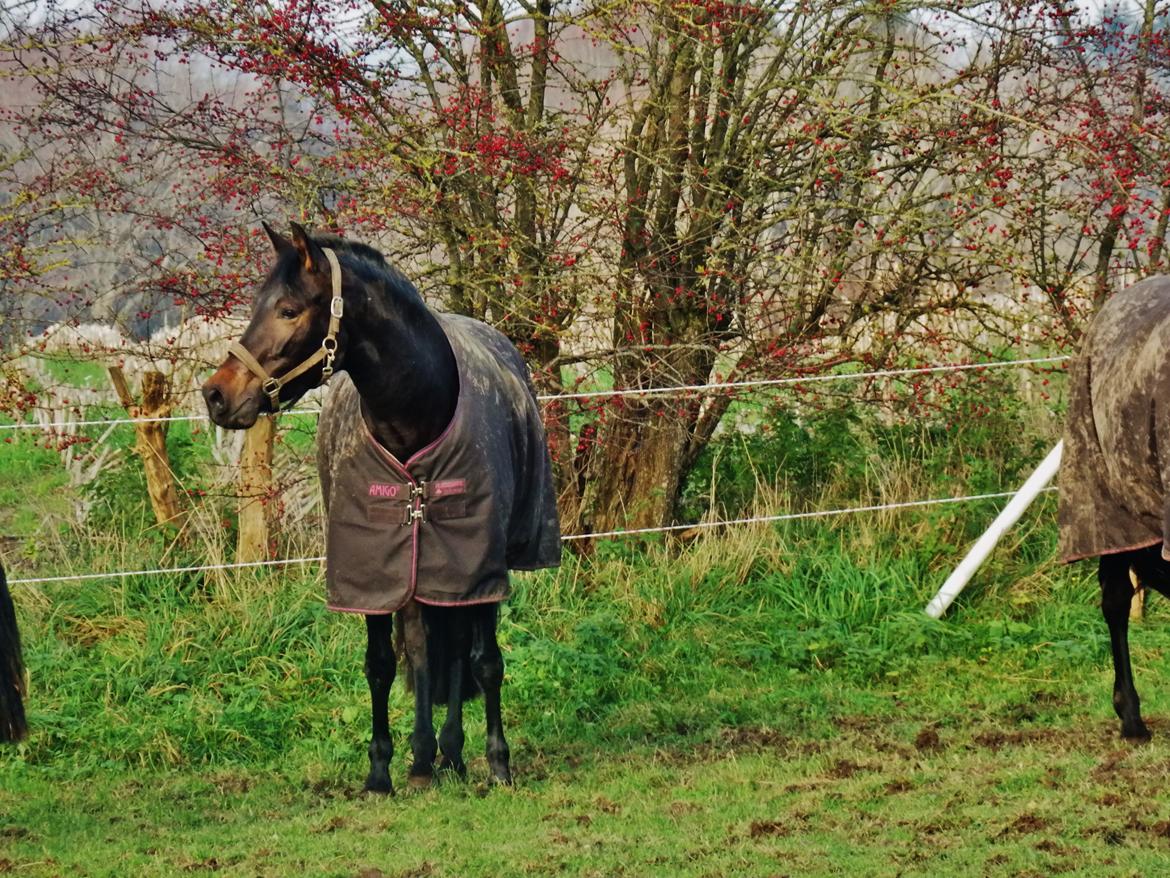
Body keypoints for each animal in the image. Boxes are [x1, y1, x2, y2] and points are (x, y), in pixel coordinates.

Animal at [202, 223, 561, 796]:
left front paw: (499, 764)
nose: (216, 395)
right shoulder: (373, 571)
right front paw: (381, 770)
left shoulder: (481, 566)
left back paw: (452, 754)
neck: (415, 417)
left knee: (458, 647)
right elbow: (381, 665)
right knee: (425, 645)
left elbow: (487, 662)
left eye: (288, 309)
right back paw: (429, 757)